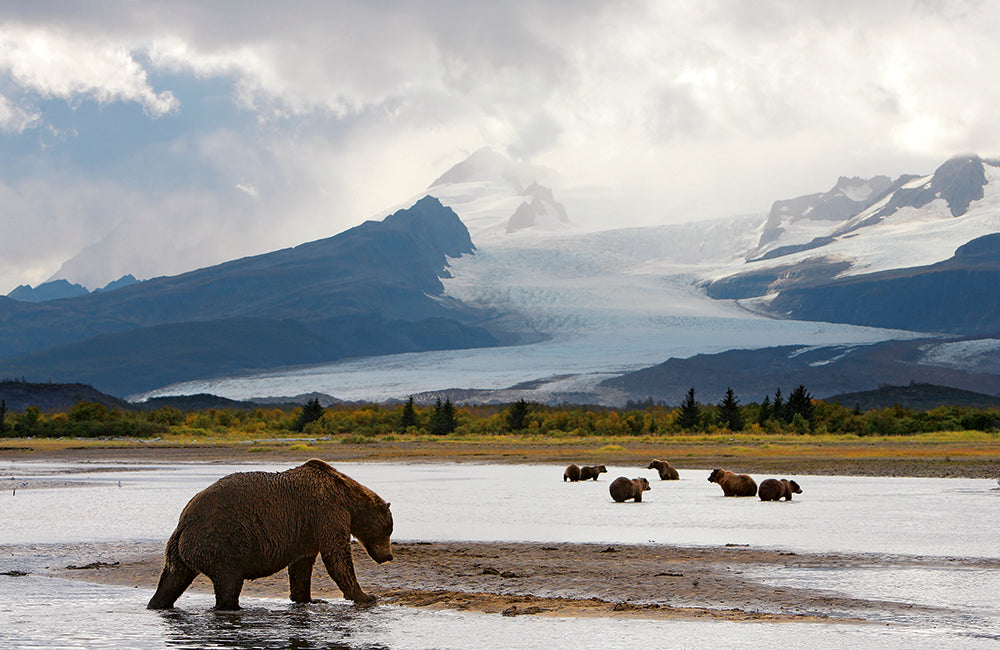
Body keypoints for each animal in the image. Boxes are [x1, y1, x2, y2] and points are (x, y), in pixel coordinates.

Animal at [147, 459, 393, 610]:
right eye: (387, 529)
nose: (389, 556)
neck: (348, 499)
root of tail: (184, 522)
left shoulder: (306, 531)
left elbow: (301, 567)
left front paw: (310, 599)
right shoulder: (326, 512)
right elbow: (337, 557)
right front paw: (366, 596)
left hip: (179, 550)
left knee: (171, 580)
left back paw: (156, 603)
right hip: (222, 541)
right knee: (228, 582)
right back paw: (233, 607)